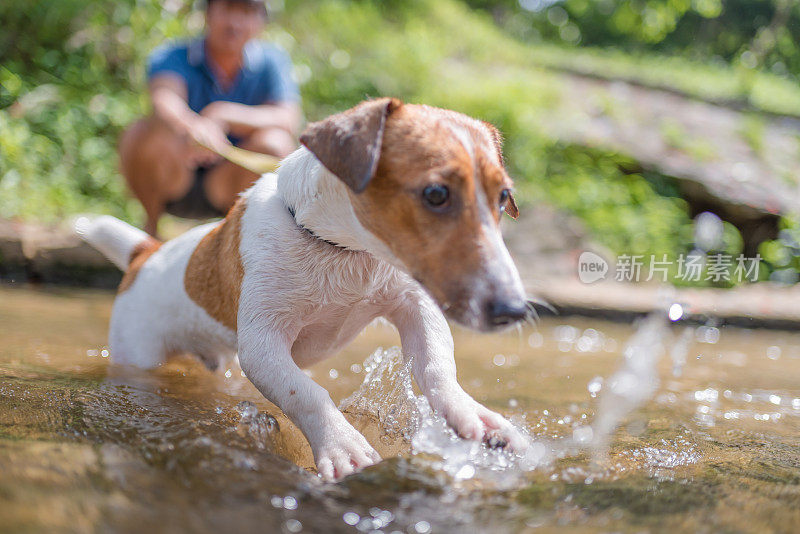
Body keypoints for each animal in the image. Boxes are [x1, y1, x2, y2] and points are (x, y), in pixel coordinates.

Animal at [79, 97, 532, 482]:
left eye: (503, 196)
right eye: (436, 193)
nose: (514, 309)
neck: (344, 249)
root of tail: (146, 254)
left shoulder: (414, 304)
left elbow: (437, 366)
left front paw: (474, 416)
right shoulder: (263, 344)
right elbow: (307, 393)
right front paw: (342, 443)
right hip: (139, 354)